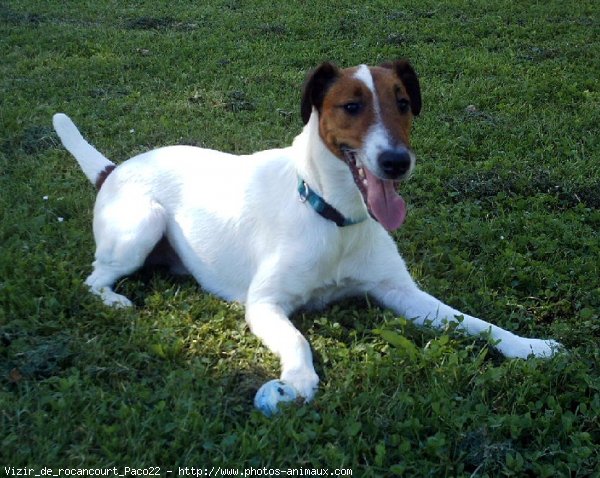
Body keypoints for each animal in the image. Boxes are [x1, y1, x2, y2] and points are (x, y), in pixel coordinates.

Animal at [52, 59, 564, 410]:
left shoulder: (403, 293)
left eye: (402, 104)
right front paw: (298, 380)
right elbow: (298, 340)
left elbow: (474, 322)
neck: (333, 217)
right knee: (95, 277)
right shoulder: (265, 304)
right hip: (141, 227)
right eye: (351, 106)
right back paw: (115, 300)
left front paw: (529, 346)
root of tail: (114, 168)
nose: (397, 162)